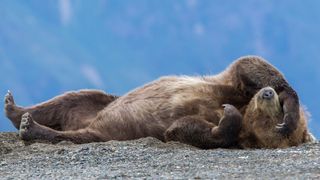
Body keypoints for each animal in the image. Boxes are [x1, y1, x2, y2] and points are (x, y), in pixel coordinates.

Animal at [3, 55, 316, 148]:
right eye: (275, 113)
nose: (267, 95)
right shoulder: (230, 86)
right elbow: (250, 65)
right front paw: (290, 108)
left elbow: (184, 129)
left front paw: (227, 119)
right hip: (100, 102)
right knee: (74, 97)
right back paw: (15, 108)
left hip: (105, 130)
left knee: (78, 135)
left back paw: (31, 127)